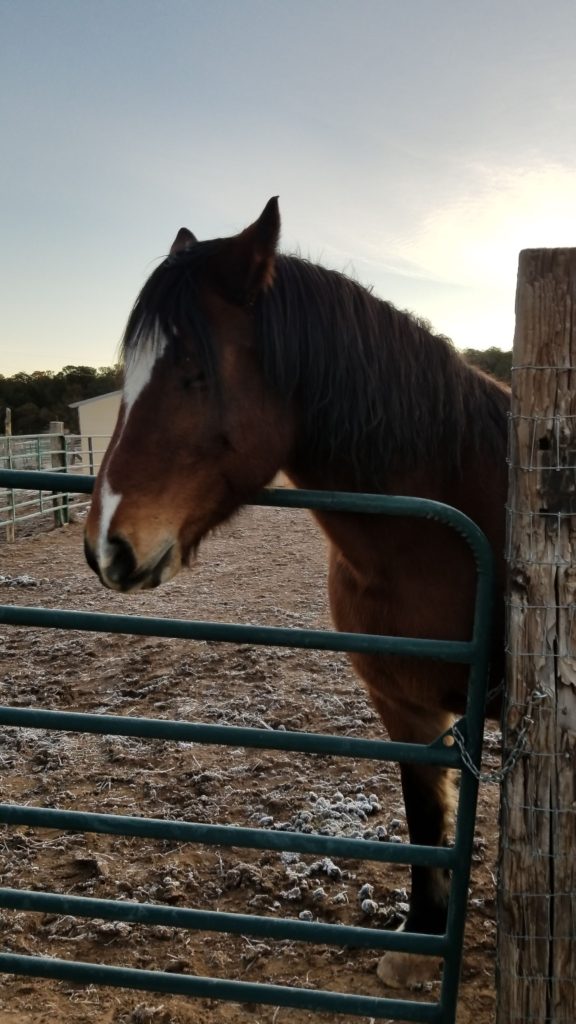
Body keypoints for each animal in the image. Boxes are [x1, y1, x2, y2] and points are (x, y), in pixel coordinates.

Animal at [83, 195, 504, 987]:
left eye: (194, 370)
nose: (106, 548)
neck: (449, 536)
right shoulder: (404, 706)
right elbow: (425, 817)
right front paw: (419, 944)